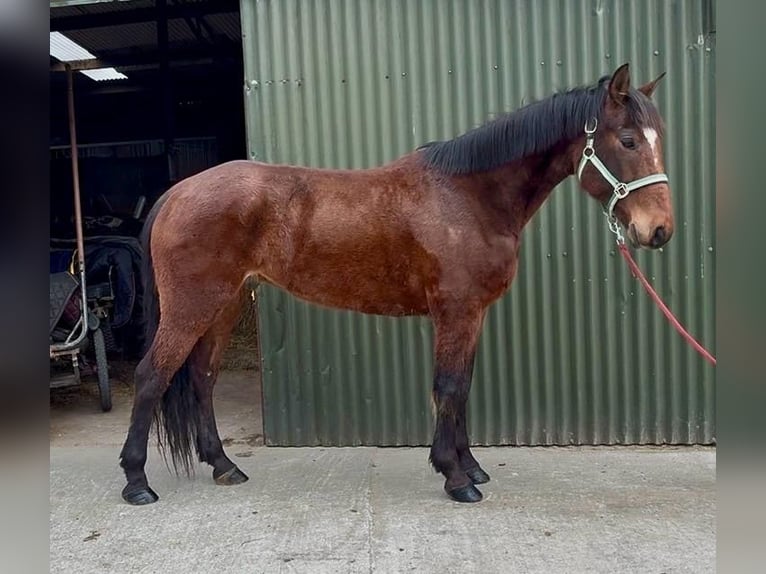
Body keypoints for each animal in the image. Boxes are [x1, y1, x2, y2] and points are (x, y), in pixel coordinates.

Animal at [119, 63, 674, 505]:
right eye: (627, 141)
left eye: (658, 139)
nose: (659, 231)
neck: (469, 195)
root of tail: (178, 192)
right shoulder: (455, 310)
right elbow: (448, 387)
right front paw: (455, 478)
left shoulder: (473, 313)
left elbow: (462, 387)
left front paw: (471, 467)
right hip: (192, 306)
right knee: (151, 376)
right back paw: (136, 482)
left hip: (225, 304)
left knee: (202, 378)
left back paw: (224, 466)